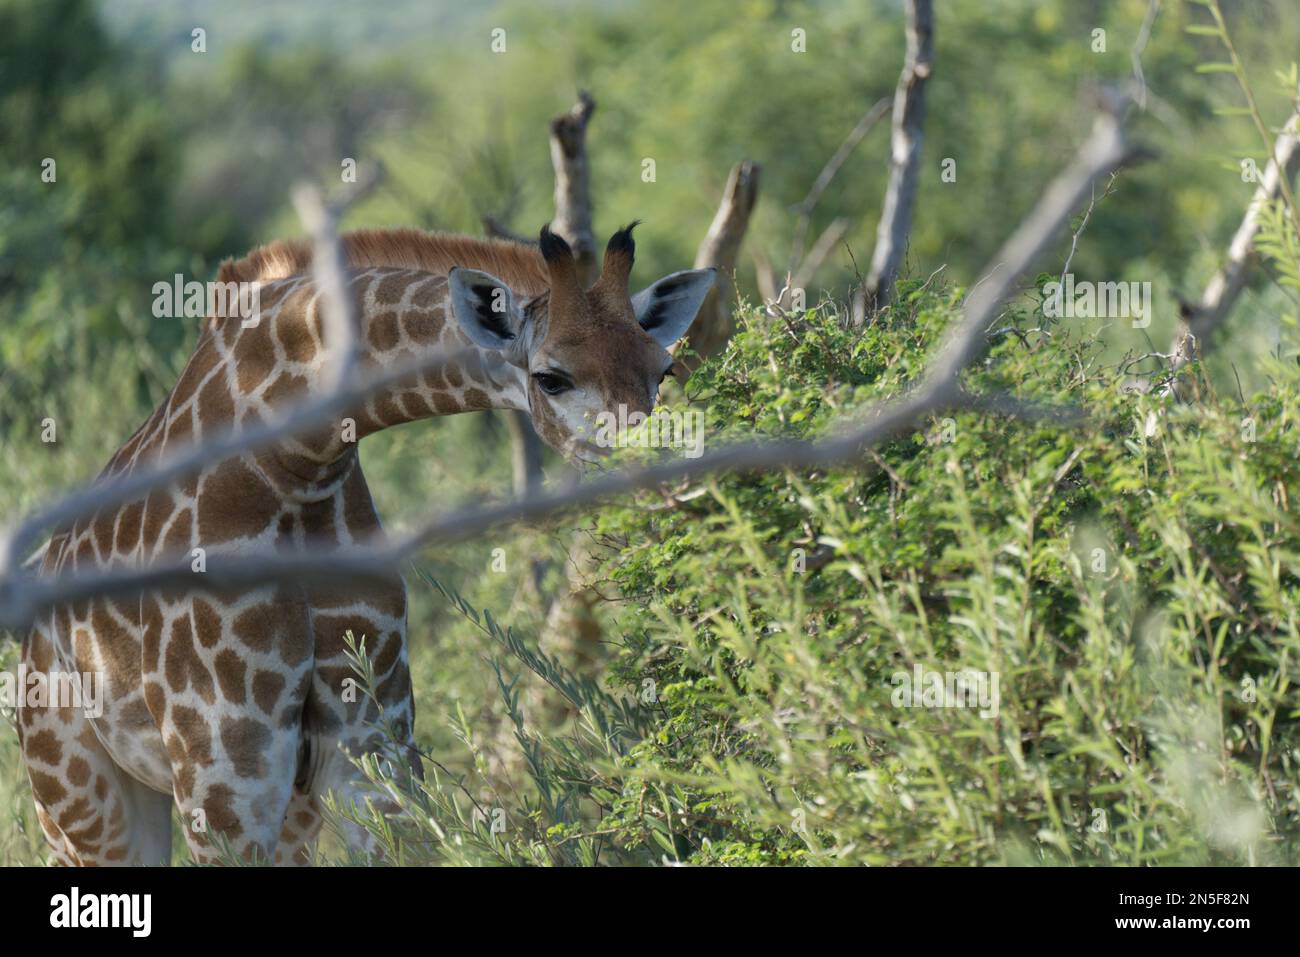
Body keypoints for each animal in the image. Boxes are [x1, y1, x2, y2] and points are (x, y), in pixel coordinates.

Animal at [15, 223, 717, 868]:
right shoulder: (224, 763)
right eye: (551, 378)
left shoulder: (370, 737)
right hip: (80, 801)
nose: (664, 473)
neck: (295, 462)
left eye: (663, 369)